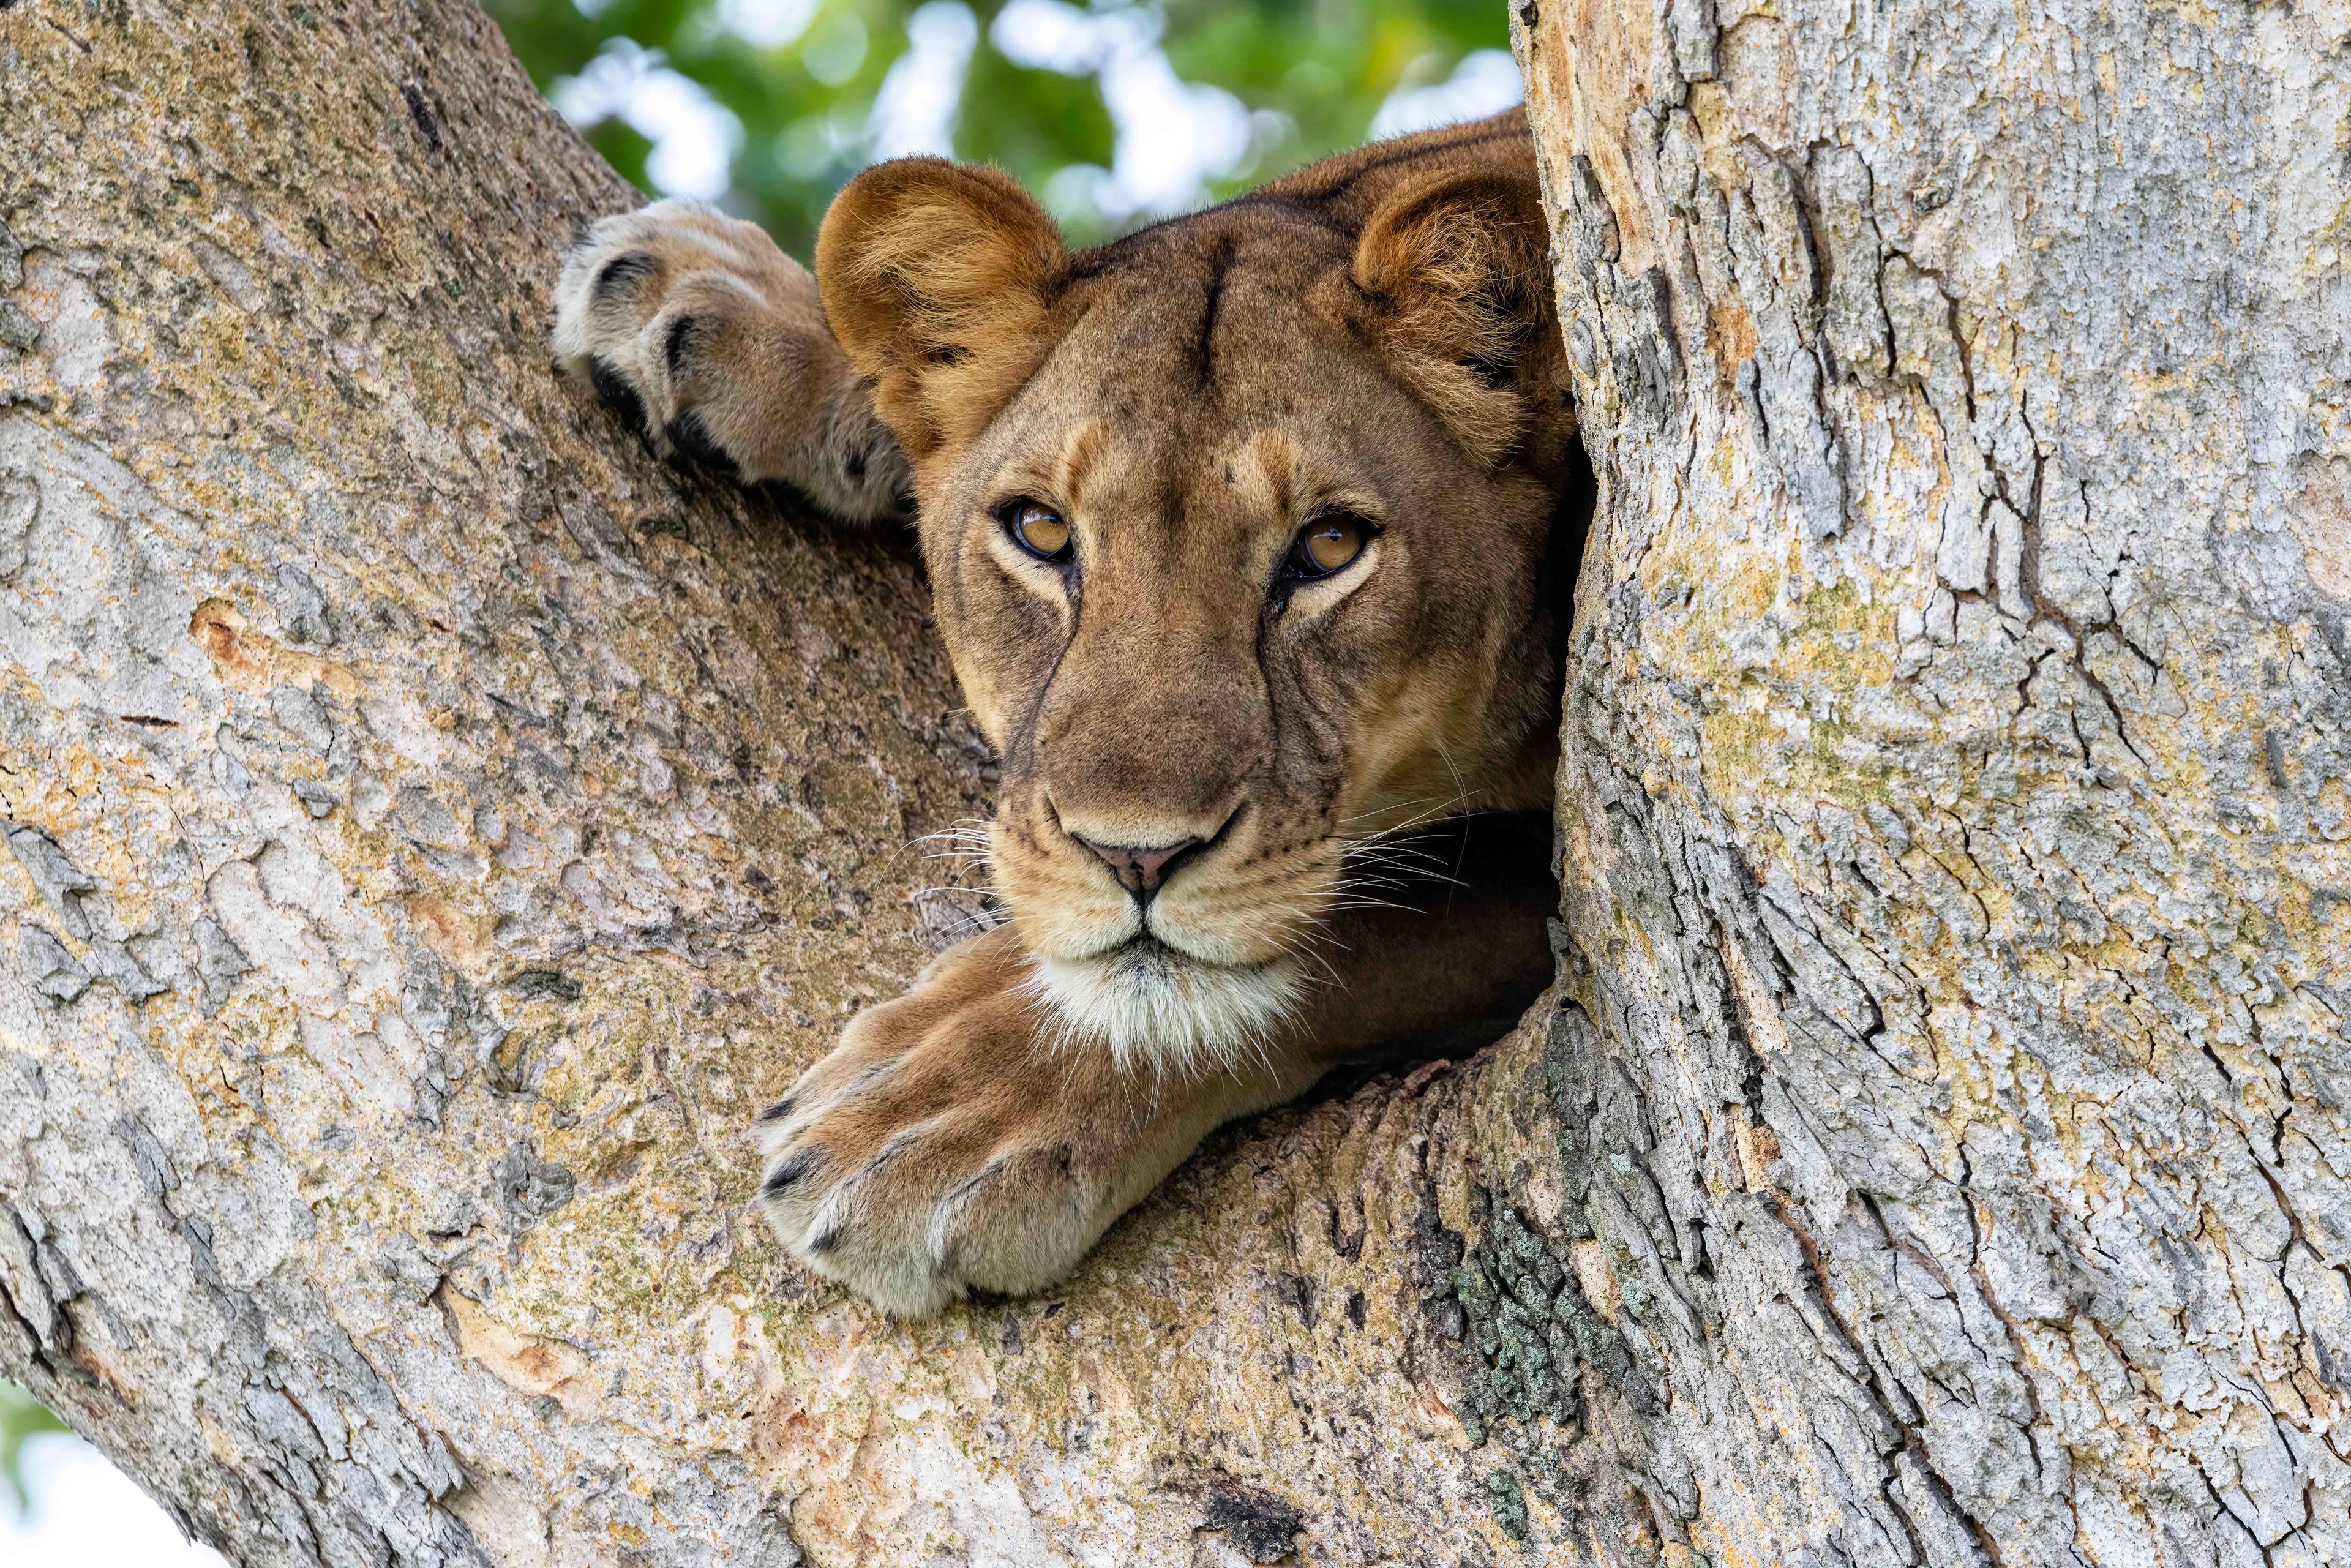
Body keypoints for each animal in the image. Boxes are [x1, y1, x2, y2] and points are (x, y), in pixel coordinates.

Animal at [552, 109, 1587, 1316]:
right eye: (1041, 531)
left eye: (1330, 547)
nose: (1135, 857)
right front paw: (716, 302)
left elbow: (1383, 916)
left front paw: (941, 1119)